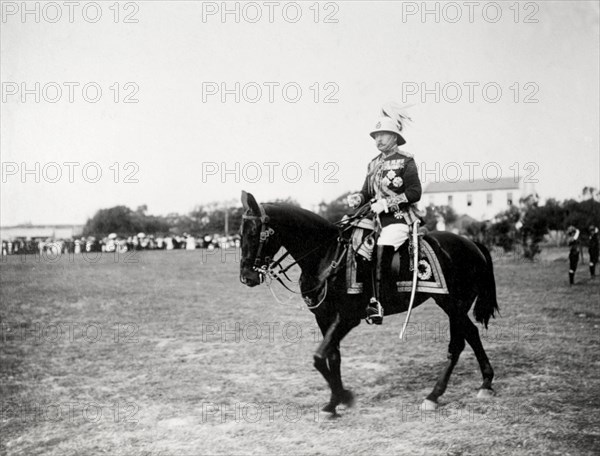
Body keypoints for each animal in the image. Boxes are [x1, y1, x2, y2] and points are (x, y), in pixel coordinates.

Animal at [239, 191, 496, 416]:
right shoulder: (324, 318)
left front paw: (343, 397)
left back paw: (434, 395)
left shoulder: (347, 318)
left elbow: (319, 358)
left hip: (453, 304)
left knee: (458, 344)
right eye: (240, 234)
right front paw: (334, 402)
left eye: (254, 233)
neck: (327, 256)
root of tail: (472, 243)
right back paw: (485, 383)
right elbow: (332, 357)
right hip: (454, 307)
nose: (246, 277)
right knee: (471, 334)